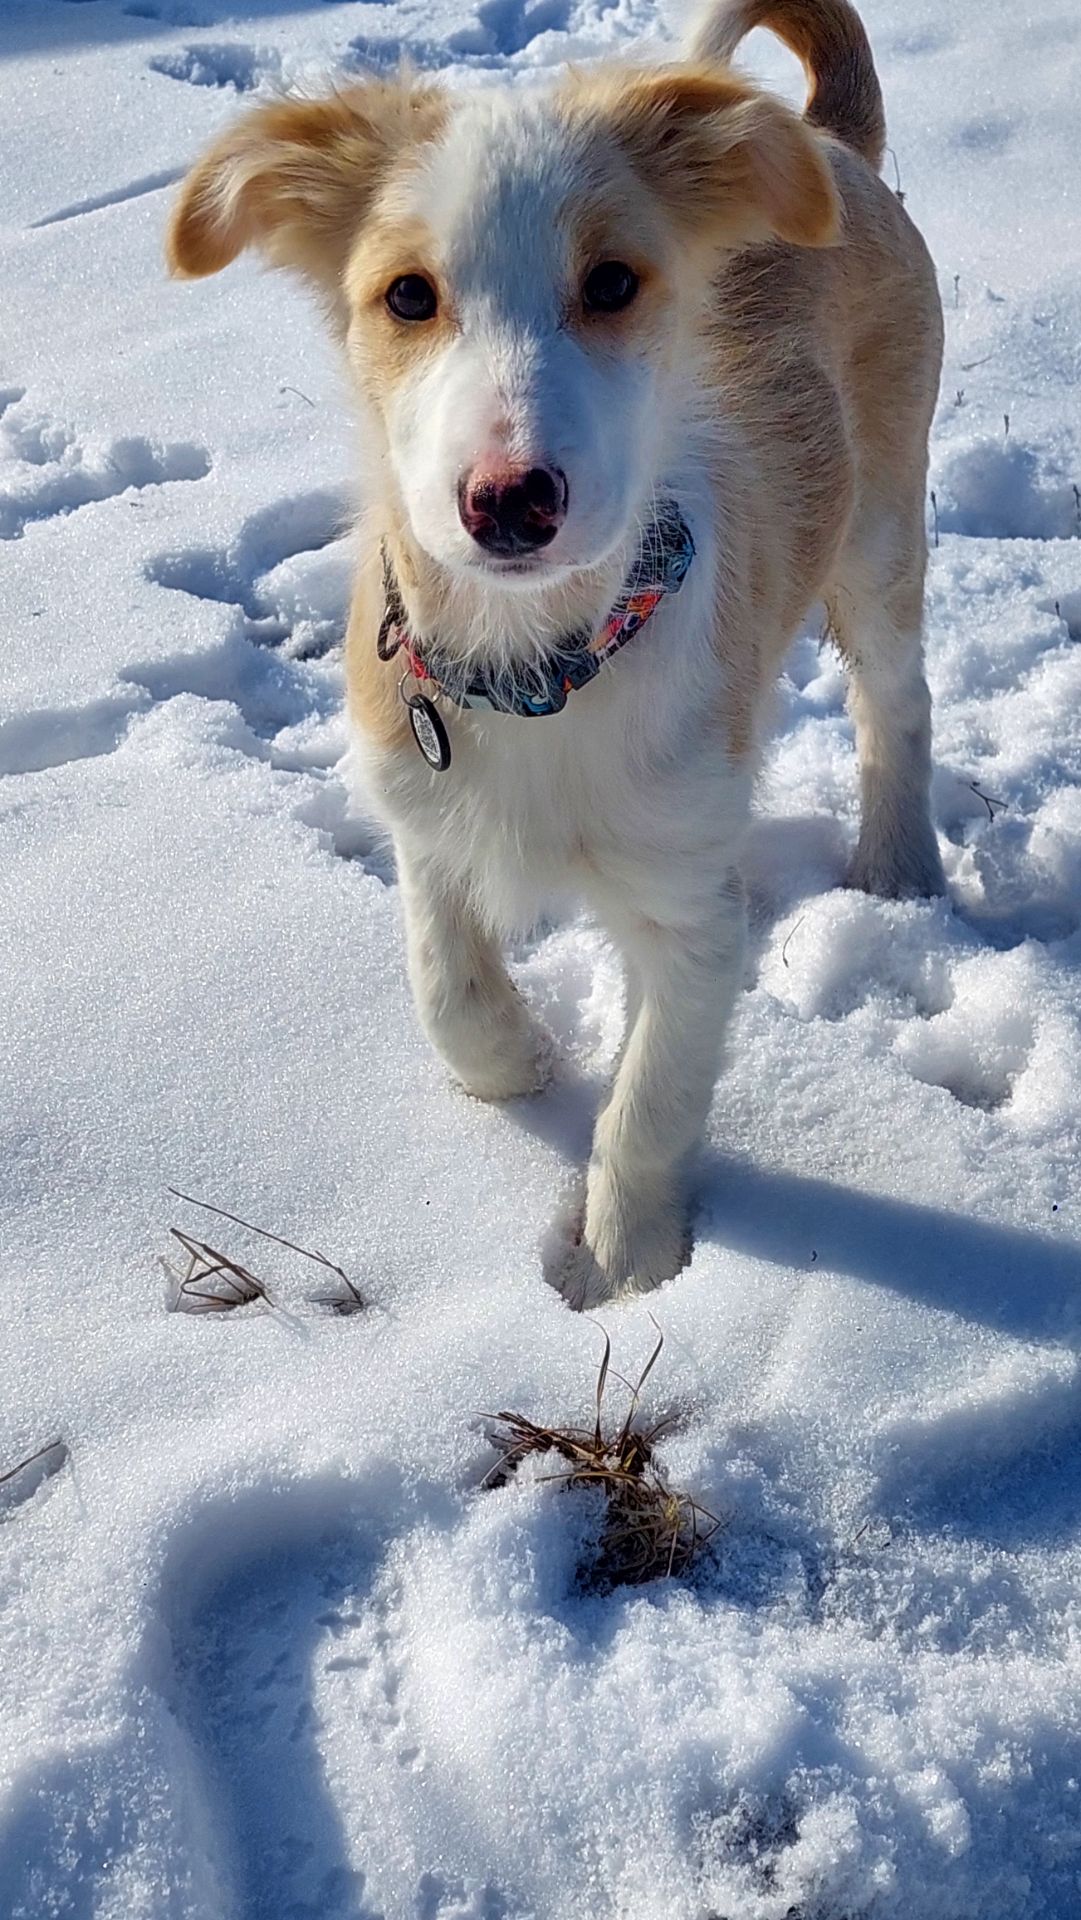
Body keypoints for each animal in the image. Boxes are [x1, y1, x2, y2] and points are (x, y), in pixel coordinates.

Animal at [167, 0, 948, 1305]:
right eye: (408, 297)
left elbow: (652, 1097)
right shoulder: (420, 808)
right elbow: (444, 984)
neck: (533, 670)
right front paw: (522, 1056)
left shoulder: (693, 907)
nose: (510, 501)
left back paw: (896, 863)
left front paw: (626, 1261)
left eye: (614, 282)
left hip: (882, 530)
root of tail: (829, 140)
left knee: (896, 702)